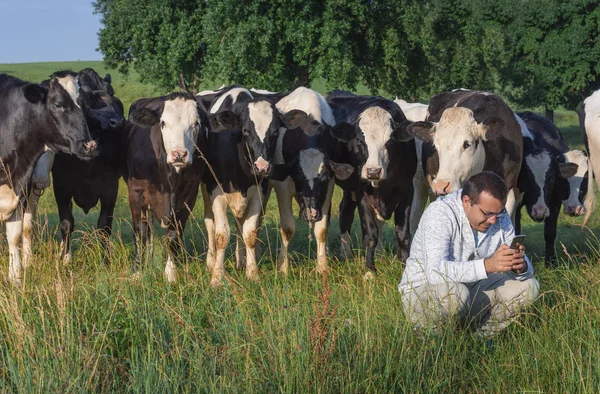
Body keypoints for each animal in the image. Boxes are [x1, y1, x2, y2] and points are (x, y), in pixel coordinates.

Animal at [0, 71, 96, 286]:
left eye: (85, 103)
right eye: (58, 104)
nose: (89, 145)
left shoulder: (20, 185)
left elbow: (15, 234)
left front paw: (16, 276)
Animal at [125, 92, 207, 284]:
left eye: (196, 123)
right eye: (163, 123)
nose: (179, 154)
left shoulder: (189, 197)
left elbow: (173, 236)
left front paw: (171, 273)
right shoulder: (136, 192)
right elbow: (140, 232)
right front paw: (137, 272)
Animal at [328, 89, 418, 278]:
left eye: (390, 141)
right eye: (359, 141)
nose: (373, 171)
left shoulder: (407, 190)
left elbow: (403, 234)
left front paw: (405, 265)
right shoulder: (362, 193)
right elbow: (370, 234)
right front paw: (369, 270)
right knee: (345, 213)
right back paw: (346, 253)